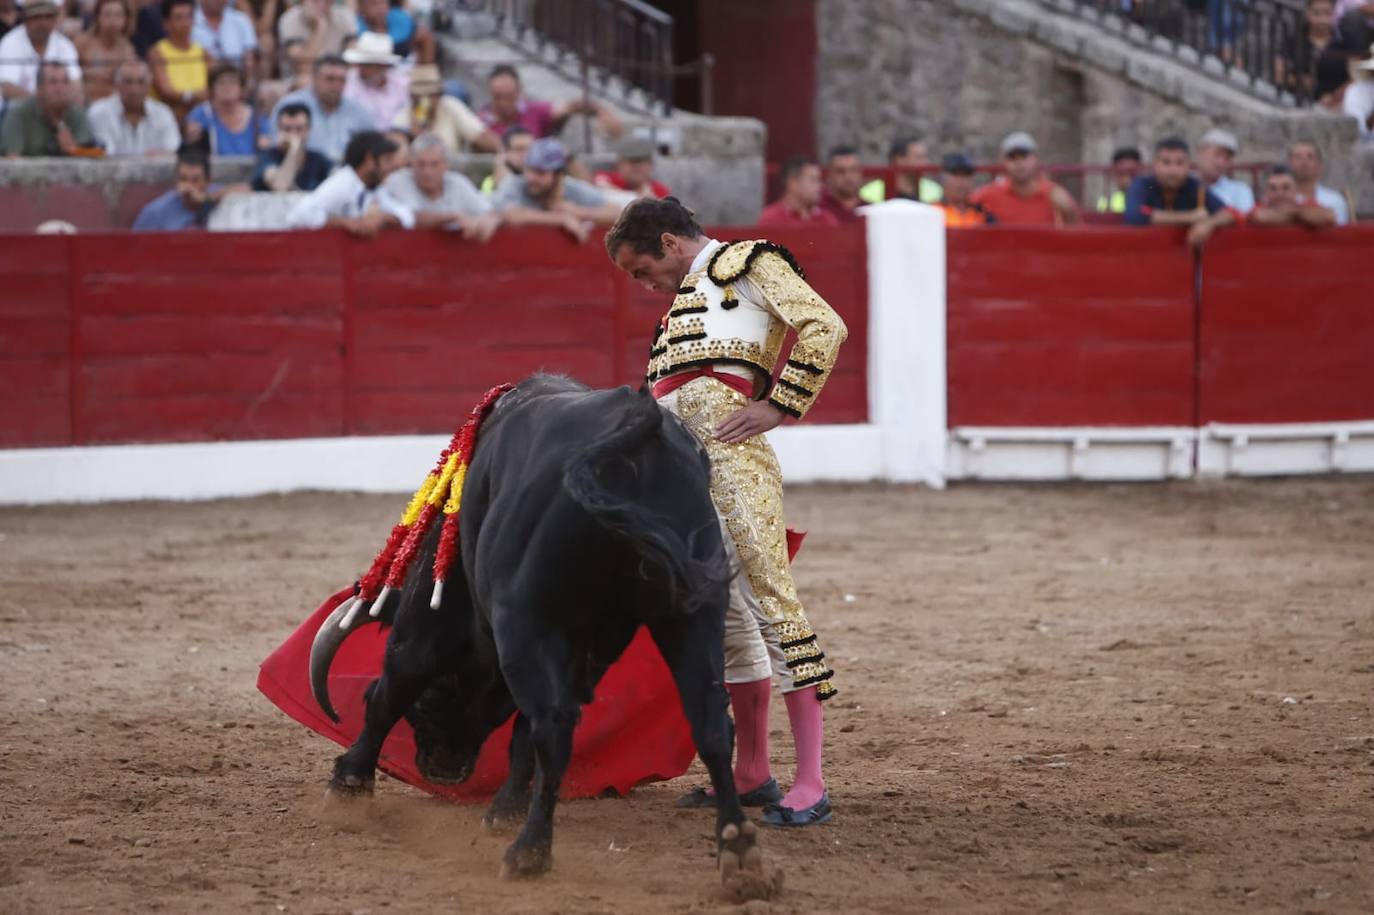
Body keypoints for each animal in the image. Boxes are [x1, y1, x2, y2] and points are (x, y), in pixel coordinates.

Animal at [306, 373, 769, 879]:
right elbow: (521, 731)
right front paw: (503, 809)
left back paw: (529, 852)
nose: (444, 770)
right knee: (710, 719)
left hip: (527, 619)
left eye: (433, 699)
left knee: (553, 727)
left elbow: (392, 687)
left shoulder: (443, 620)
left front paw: (348, 785)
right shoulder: (581, 651)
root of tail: (636, 430)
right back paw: (739, 852)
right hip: (692, 612)